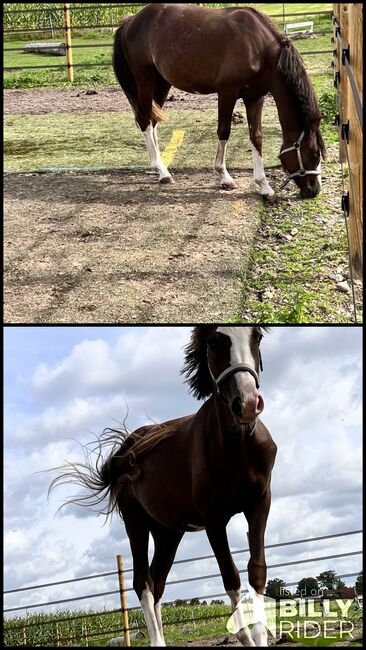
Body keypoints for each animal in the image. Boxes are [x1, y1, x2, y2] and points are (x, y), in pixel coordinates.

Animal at [49, 326, 278, 644]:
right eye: (213, 342)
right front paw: (243, 635)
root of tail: (126, 450)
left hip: (168, 532)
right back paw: (156, 639)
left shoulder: (259, 504)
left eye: (257, 336)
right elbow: (229, 575)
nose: (246, 404)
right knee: (143, 583)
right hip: (136, 523)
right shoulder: (214, 519)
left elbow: (256, 570)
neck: (238, 447)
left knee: (158, 582)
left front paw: (259, 635)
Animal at [113, 3, 326, 197]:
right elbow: (224, 131)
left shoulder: (255, 97)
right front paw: (225, 177)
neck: (257, 46)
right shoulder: (227, 92)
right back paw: (162, 172)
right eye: (314, 154)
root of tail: (131, 20)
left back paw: (159, 168)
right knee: (144, 121)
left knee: (152, 121)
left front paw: (264, 186)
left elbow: (256, 137)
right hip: (145, 81)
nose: (314, 191)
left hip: (162, 83)